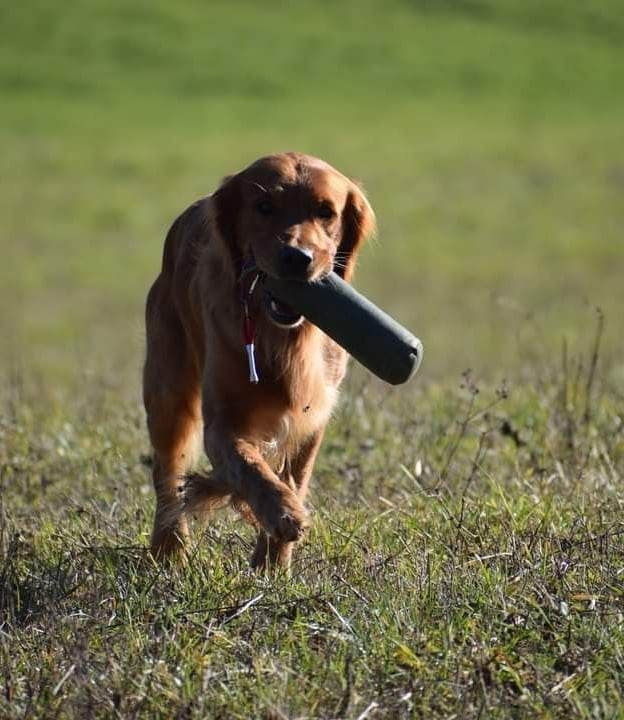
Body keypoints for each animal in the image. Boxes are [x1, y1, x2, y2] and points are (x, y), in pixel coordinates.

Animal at [142, 150, 376, 568]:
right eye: (264, 207)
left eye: (326, 212)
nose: (297, 257)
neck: (279, 339)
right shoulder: (221, 423)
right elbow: (249, 467)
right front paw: (282, 513)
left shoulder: (311, 418)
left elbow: (293, 478)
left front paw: (272, 562)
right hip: (167, 391)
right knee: (167, 474)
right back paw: (169, 547)